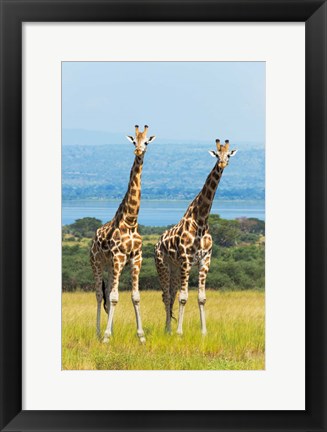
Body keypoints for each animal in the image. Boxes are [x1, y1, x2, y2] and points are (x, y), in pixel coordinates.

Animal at [89, 125, 156, 344]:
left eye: (146, 142)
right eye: (134, 141)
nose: (138, 151)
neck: (131, 221)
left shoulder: (136, 258)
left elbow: (134, 296)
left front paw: (141, 337)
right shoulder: (118, 257)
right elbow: (114, 297)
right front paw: (106, 337)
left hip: (111, 267)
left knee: (108, 293)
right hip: (97, 263)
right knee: (99, 295)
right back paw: (99, 332)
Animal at [155, 138, 237, 334]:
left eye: (229, 155)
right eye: (217, 154)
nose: (222, 163)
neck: (201, 221)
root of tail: (156, 243)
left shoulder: (205, 260)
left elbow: (201, 297)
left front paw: (204, 332)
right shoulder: (186, 259)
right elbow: (184, 297)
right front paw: (179, 332)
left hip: (175, 269)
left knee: (171, 294)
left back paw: (168, 329)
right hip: (163, 265)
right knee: (166, 296)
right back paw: (168, 330)